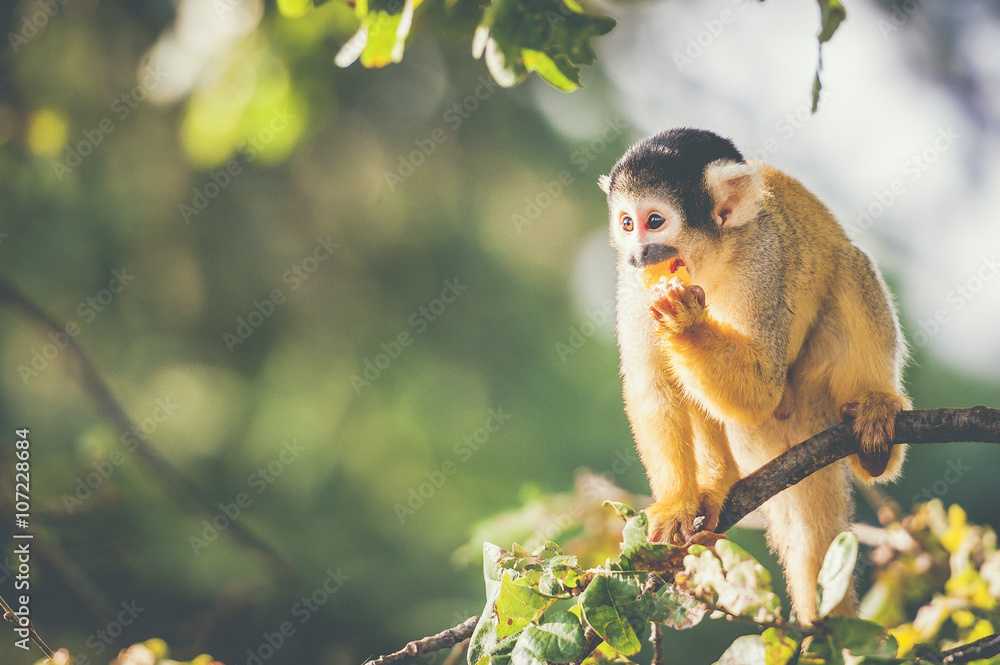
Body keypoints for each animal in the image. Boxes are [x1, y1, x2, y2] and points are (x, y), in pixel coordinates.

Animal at [599, 128, 910, 623]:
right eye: (627, 224)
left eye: (655, 221)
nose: (638, 252)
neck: (709, 260)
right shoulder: (634, 285)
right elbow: (654, 386)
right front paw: (675, 505)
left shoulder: (762, 259)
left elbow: (762, 387)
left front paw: (686, 323)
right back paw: (719, 480)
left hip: (814, 388)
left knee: (849, 266)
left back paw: (877, 422)